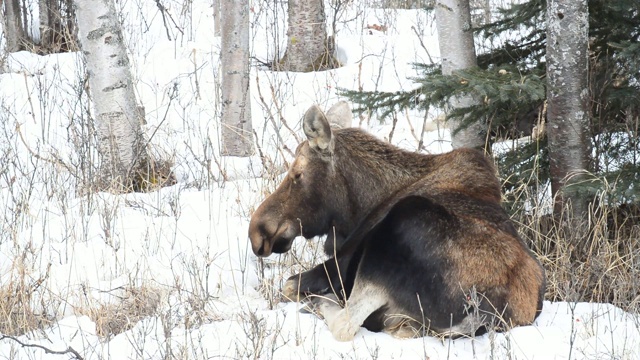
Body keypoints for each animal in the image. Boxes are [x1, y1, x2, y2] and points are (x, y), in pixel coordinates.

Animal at [248, 102, 544, 340]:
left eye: (297, 174)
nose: (258, 231)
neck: (359, 210)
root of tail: (483, 312)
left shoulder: (341, 264)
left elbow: (288, 284)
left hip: (396, 232)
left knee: (346, 324)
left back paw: (320, 303)